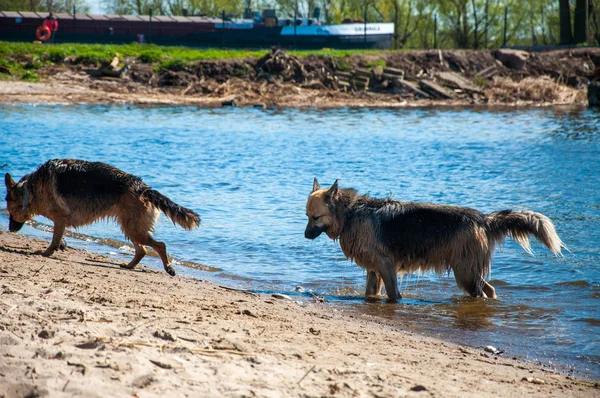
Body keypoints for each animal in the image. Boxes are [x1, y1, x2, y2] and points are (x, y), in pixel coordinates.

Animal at [4, 158, 200, 274]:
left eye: (9, 212)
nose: (9, 229)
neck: (30, 190)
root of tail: (143, 188)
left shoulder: (60, 219)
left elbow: (53, 240)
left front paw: (46, 253)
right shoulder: (61, 222)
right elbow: (58, 239)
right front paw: (59, 247)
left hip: (134, 229)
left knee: (160, 245)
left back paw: (168, 267)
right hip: (131, 227)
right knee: (143, 250)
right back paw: (129, 266)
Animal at [308, 178, 564, 302]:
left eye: (315, 217)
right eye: (307, 216)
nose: (305, 235)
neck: (350, 213)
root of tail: (482, 219)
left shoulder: (385, 266)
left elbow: (393, 293)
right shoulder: (374, 269)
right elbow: (372, 290)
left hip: (465, 273)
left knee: (482, 294)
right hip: (469, 271)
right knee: (490, 290)